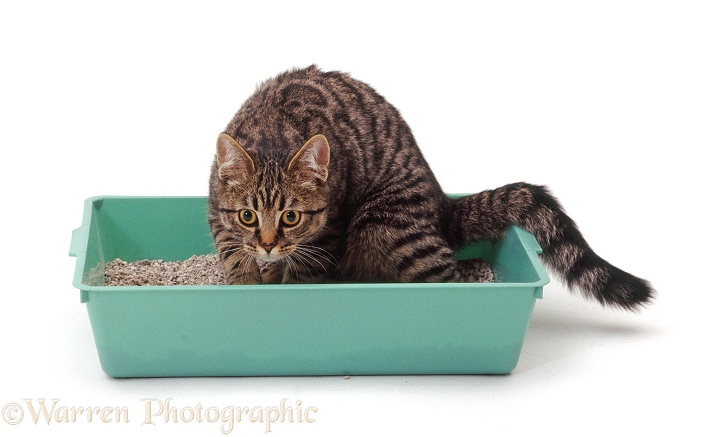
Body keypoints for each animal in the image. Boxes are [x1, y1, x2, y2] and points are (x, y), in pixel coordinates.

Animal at [208, 64, 656, 310]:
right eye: (247, 215)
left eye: (291, 216)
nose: (268, 245)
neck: (274, 127)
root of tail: (443, 205)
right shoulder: (218, 211)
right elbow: (233, 251)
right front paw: (250, 279)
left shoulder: (331, 226)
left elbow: (304, 270)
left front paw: (280, 282)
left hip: (385, 225)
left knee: (452, 278)